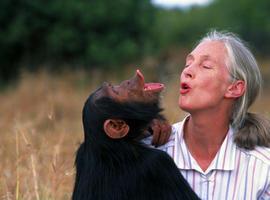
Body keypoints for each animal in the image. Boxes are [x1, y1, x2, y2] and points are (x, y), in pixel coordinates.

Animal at [73, 70, 199, 200]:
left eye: (113, 87)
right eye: (116, 92)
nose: (126, 82)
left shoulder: (82, 152)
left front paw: (157, 124)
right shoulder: (158, 163)